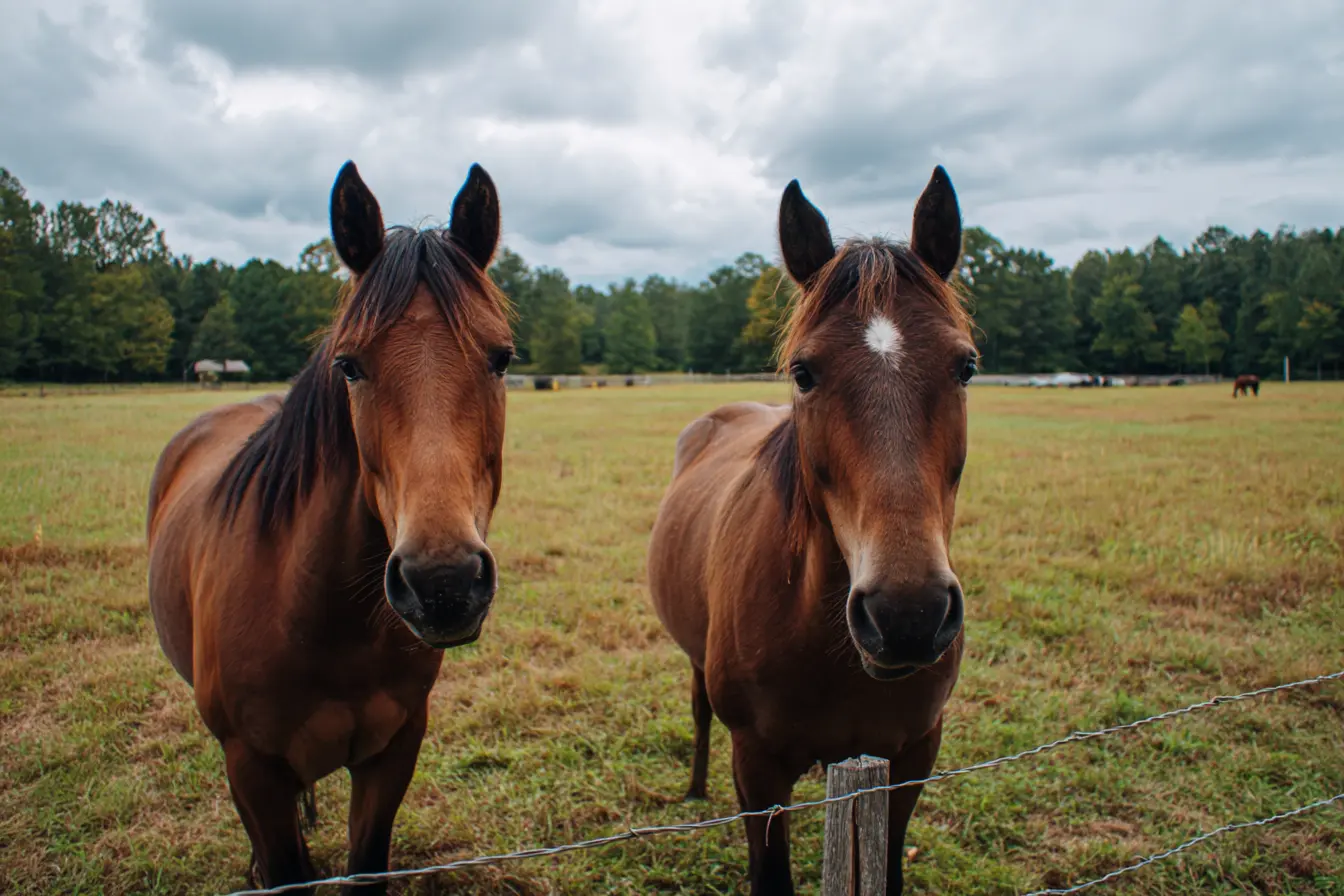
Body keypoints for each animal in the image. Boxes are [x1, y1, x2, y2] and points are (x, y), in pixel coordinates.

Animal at [146, 160, 514, 894]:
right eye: (349, 365)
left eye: (502, 358)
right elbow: (286, 864)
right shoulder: (251, 769)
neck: (317, 616)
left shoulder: (393, 752)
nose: (443, 583)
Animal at [646, 166, 976, 895]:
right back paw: (693, 789)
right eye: (803, 371)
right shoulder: (758, 768)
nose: (907, 613)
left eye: (966, 365)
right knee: (697, 711)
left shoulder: (910, 758)